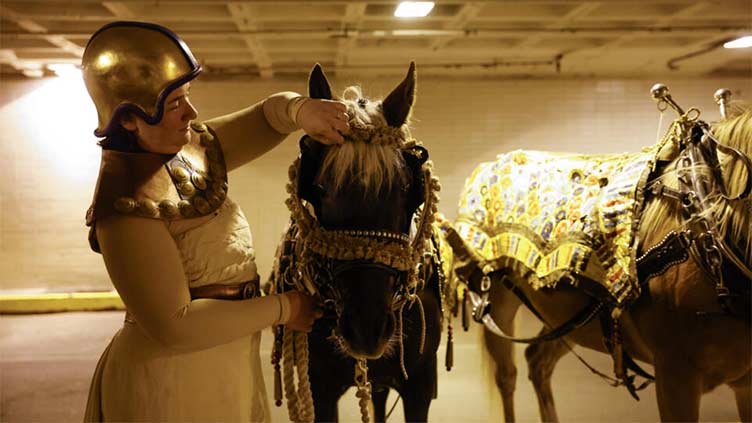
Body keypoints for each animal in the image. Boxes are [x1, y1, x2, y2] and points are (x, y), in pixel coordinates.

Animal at [446, 88, 752, 422]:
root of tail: (491, 164)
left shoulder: (744, 383)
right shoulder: (675, 377)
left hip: (570, 319)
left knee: (538, 361)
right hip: (496, 299)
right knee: (507, 376)